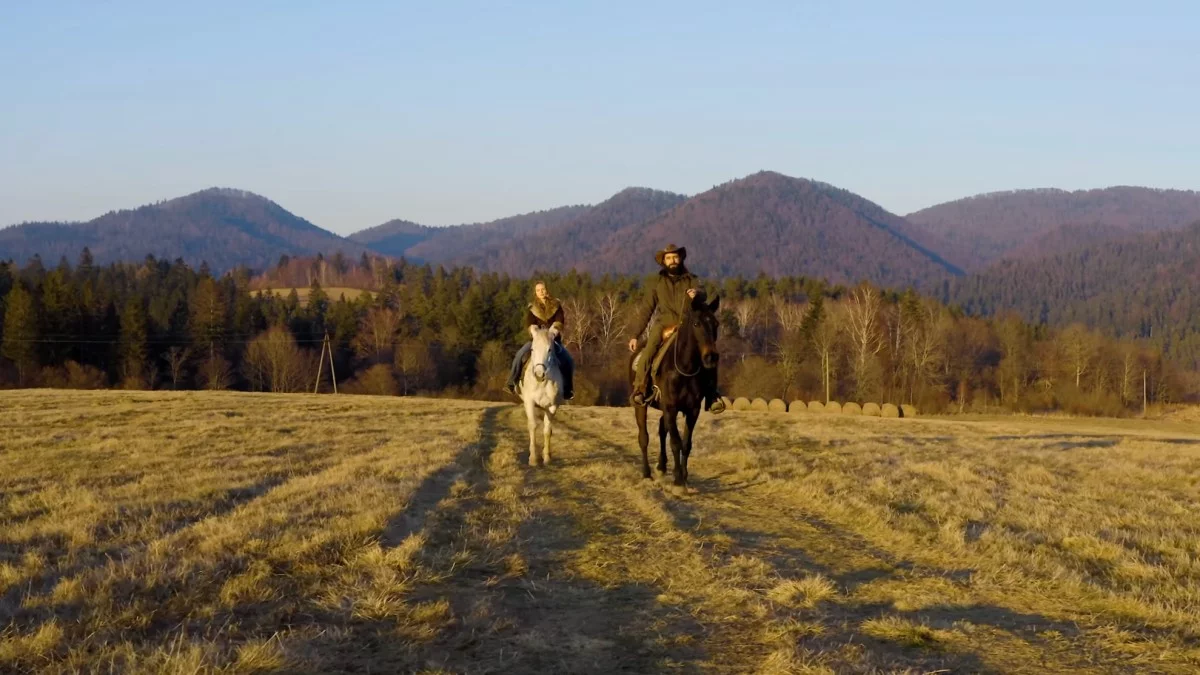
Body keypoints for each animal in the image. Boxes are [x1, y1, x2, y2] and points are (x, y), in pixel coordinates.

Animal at [523, 324, 564, 461]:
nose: (539, 374)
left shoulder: (552, 406)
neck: (542, 383)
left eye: (549, 350)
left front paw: (546, 456)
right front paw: (533, 458)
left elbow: (547, 430)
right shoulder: (529, 402)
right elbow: (532, 426)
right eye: (532, 349)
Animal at [633, 294, 715, 482]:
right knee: (644, 437)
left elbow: (686, 443)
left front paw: (684, 475)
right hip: (640, 405)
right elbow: (675, 442)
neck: (685, 369)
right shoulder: (670, 407)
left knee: (662, 429)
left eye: (716, 323)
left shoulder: (692, 410)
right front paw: (677, 477)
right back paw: (646, 472)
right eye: (696, 324)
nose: (711, 357)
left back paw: (662, 466)